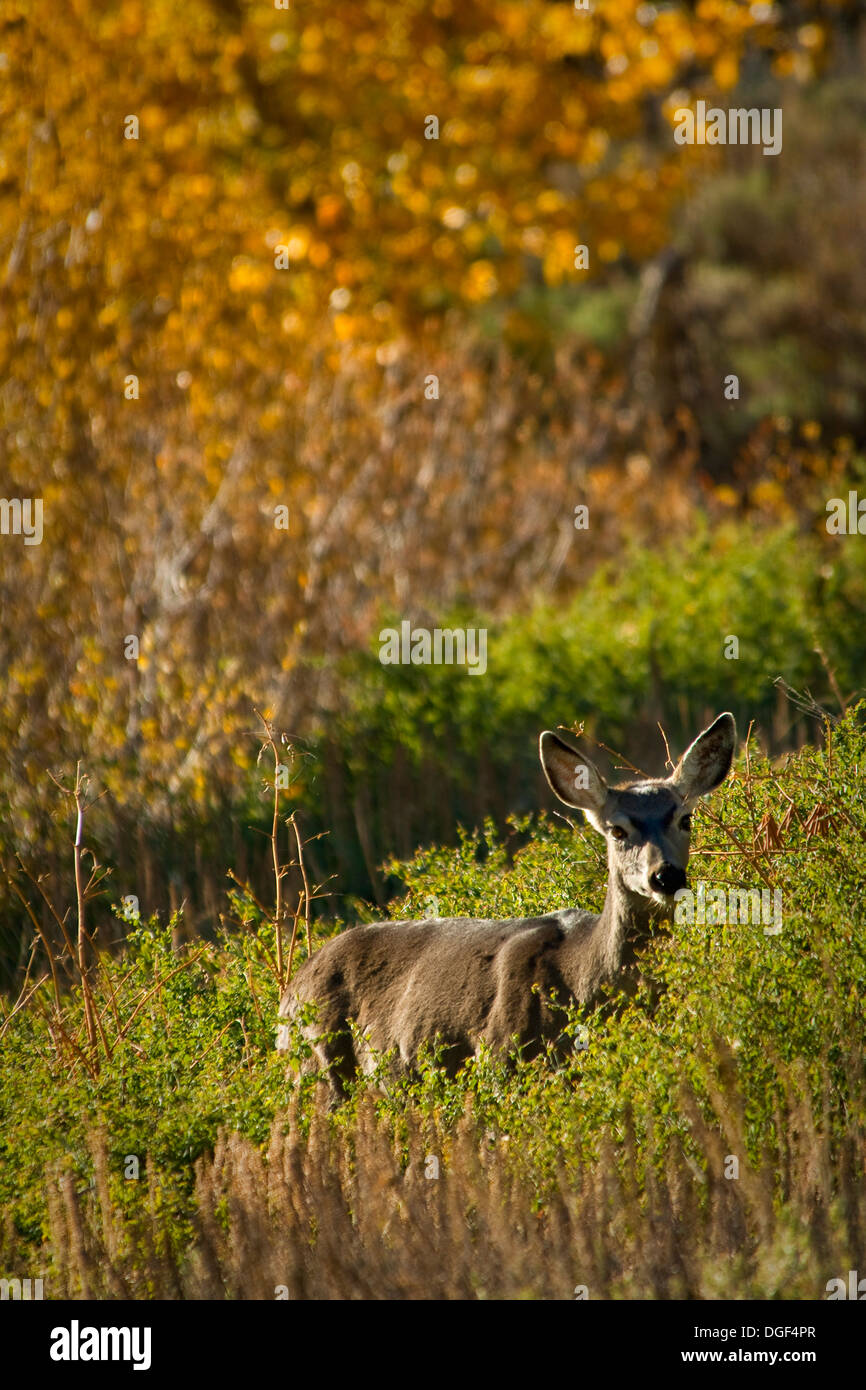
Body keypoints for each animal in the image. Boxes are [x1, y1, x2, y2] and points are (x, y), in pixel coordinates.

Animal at [279, 717, 739, 1095]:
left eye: (685, 819)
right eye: (617, 830)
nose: (666, 876)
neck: (584, 978)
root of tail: (291, 988)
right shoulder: (499, 1054)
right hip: (312, 1067)